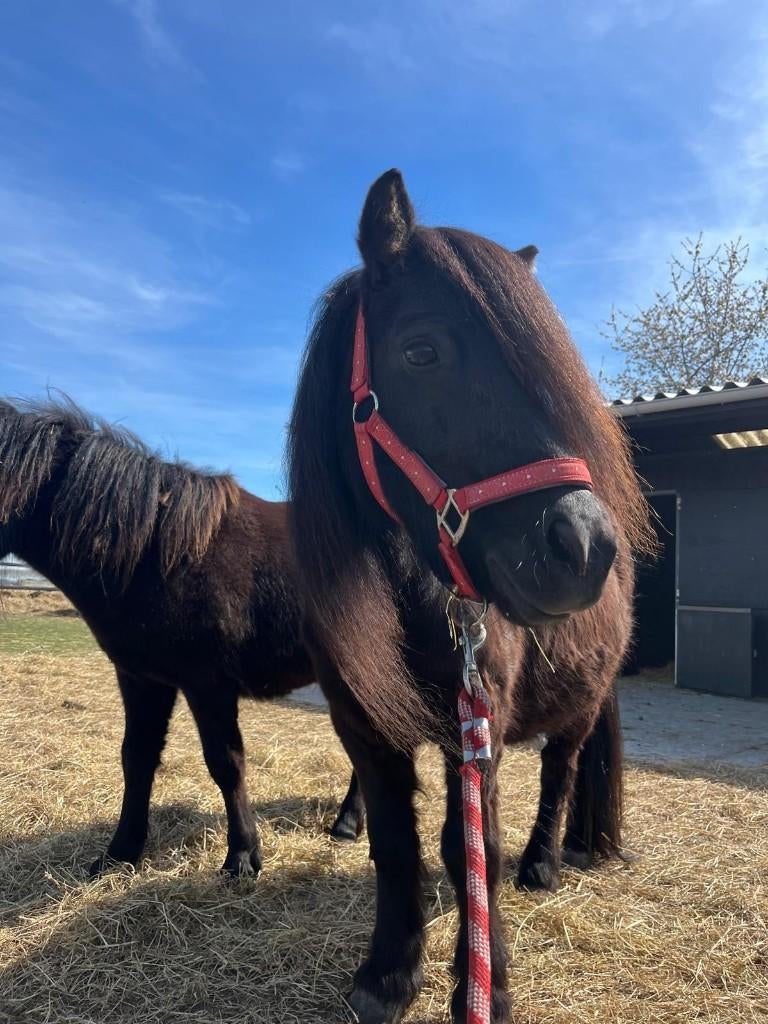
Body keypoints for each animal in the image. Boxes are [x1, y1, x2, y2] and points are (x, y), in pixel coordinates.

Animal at [0, 396, 322, 877]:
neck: (157, 552)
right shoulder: (141, 678)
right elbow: (136, 757)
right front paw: (120, 852)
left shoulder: (208, 683)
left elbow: (226, 763)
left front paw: (242, 856)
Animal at [287, 170, 654, 1023]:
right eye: (421, 350)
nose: (585, 546)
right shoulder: (363, 724)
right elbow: (396, 841)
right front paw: (388, 974)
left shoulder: (474, 726)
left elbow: (467, 846)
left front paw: (486, 987)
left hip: (579, 707)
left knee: (561, 770)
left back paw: (542, 864)